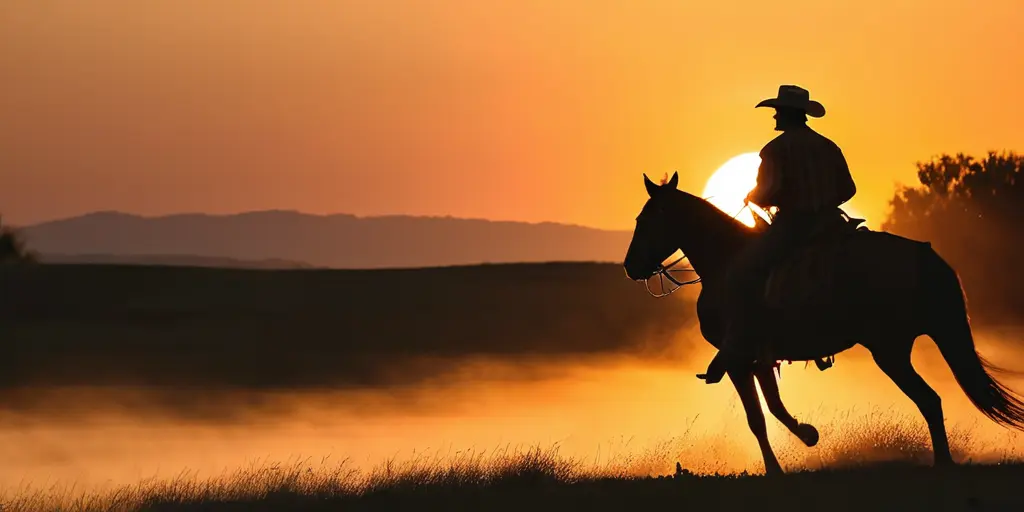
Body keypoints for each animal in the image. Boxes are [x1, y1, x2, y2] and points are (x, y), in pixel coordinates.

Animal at [622, 171, 1024, 475]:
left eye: (645, 220)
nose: (630, 266)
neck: (725, 260)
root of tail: (925, 256)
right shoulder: (758, 358)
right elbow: (773, 407)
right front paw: (807, 435)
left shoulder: (736, 360)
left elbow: (757, 417)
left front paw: (778, 465)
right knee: (932, 399)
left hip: (890, 351)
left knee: (929, 400)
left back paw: (943, 463)